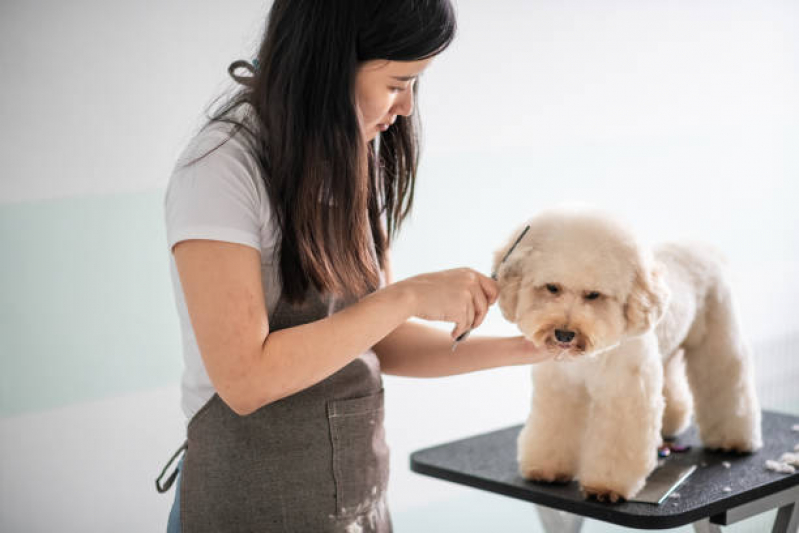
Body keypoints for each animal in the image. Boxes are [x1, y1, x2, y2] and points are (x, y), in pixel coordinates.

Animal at [496, 206, 764, 500]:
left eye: (593, 295)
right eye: (552, 287)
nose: (564, 334)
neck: (587, 358)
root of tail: (705, 248)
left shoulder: (625, 393)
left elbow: (617, 442)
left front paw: (607, 486)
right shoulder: (560, 389)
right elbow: (552, 428)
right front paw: (547, 469)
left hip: (717, 336)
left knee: (726, 378)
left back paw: (733, 439)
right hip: (664, 352)